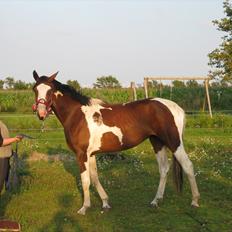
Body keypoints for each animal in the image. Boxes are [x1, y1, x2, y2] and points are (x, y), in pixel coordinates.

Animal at [32, 71, 199, 216]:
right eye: (35, 89)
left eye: (50, 90)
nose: (41, 113)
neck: (78, 115)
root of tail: (176, 107)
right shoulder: (90, 154)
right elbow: (94, 177)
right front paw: (105, 203)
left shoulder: (81, 154)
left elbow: (85, 181)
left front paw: (84, 208)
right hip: (157, 142)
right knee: (164, 169)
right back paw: (156, 201)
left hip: (174, 142)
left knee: (188, 166)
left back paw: (195, 201)